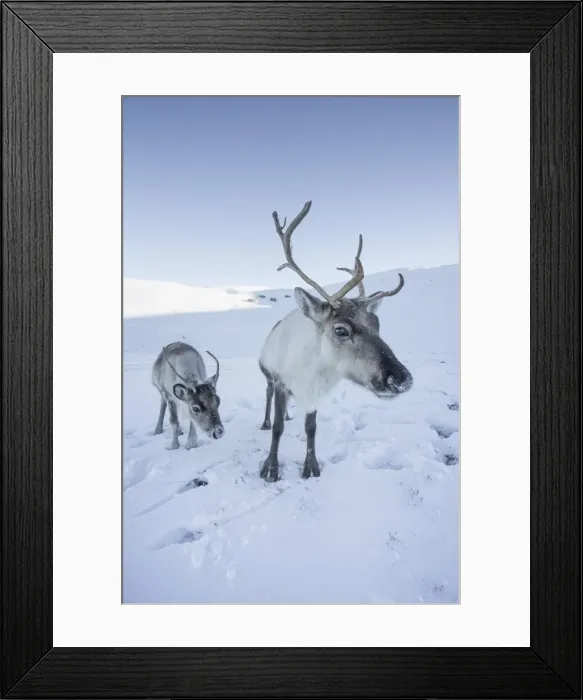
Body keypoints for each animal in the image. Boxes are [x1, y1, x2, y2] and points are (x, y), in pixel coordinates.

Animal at [258, 201, 411, 482]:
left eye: (377, 324)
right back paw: (264, 421)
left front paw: (311, 466)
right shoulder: (281, 382)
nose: (401, 379)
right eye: (341, 330)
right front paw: (270, 468)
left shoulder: (314, 393)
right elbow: (277, 427)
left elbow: (311, 427)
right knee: (267, 396)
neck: (310, 369)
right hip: (268, 378)